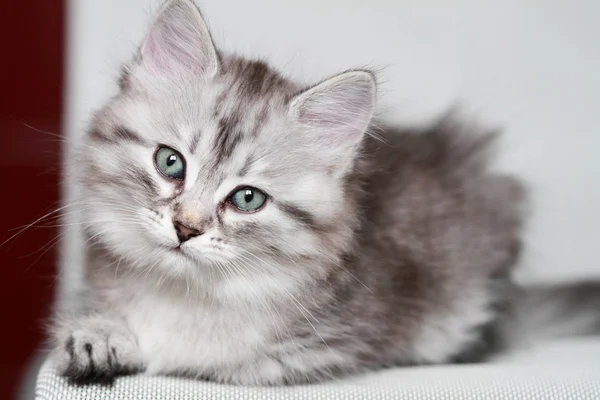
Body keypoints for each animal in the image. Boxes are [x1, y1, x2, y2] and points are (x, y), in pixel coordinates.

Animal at [51, 0, 600, 388]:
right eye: (170, 163)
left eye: (247, 199)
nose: (186, 228)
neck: (181, 290)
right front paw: (98, 334)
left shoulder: (305, 351)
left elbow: (207, 356)